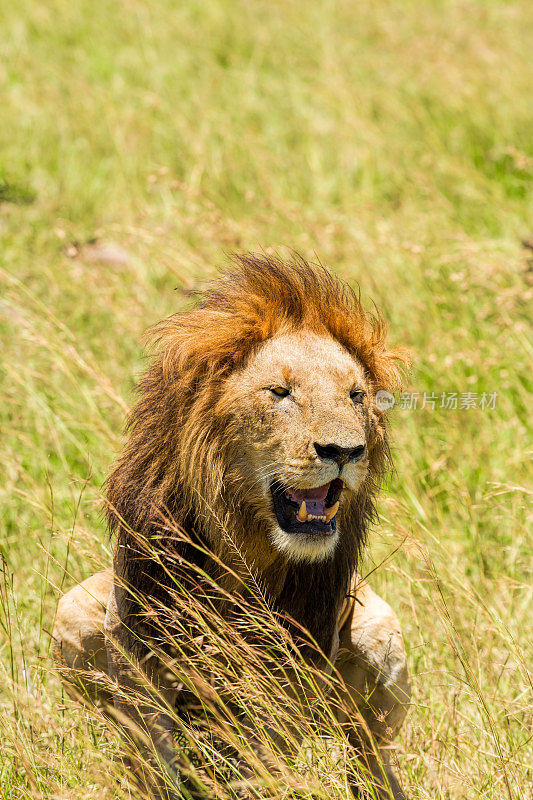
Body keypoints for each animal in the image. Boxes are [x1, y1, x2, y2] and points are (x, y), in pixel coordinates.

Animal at [52, 253, 412, 796]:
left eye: (355, 396)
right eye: (280, 392)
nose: (345, 451)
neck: (245, 548)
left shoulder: (287, 666)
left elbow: (260, 757)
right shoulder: (140, 647)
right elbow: (154, 757)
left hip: (380, 638)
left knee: (371, 755)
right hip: (71, 611)